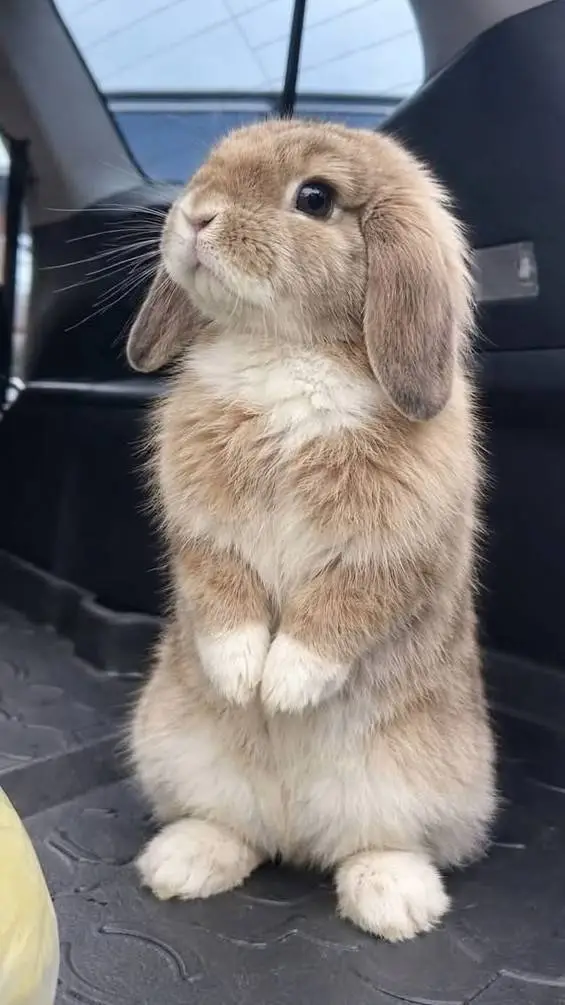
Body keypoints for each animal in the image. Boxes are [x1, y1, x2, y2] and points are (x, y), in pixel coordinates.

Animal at [125, 118, 496, 943]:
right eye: (206, 169)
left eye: (315, 198)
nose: (195, 215)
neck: (287, 349)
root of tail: (295, 831)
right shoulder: (203, 529)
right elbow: (221, 594)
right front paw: (241, 677)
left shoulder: (388, 550)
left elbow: (338, 612)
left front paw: (283, 688)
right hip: (177, 747)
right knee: (236, 829)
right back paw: (181, 865)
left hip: (417, 779)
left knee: (379, 843)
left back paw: (395, 904)